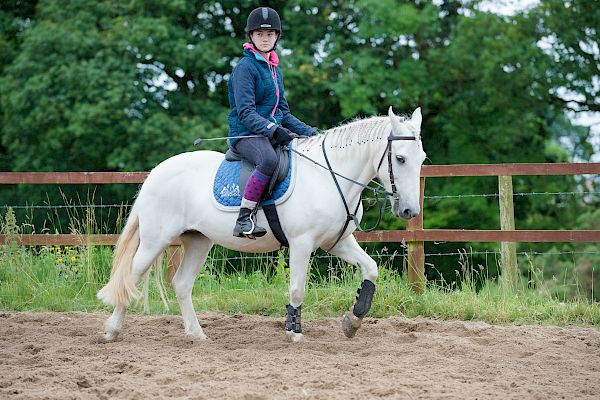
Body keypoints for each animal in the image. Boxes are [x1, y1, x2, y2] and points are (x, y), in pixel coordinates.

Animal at [98, 107, 424, 344]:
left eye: (421, 158)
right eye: (400, 158)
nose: (410, 210)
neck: (328, 176)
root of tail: (156, 172)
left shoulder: (339, 242)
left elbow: (371, 269)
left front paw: (352, 321)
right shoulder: (302, 243)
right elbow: (297, 288)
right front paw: (294, 332)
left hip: (198, 240)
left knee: (181, 284)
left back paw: (197, 335)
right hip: (156, 239)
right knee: (132, 276)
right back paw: (111, 331)